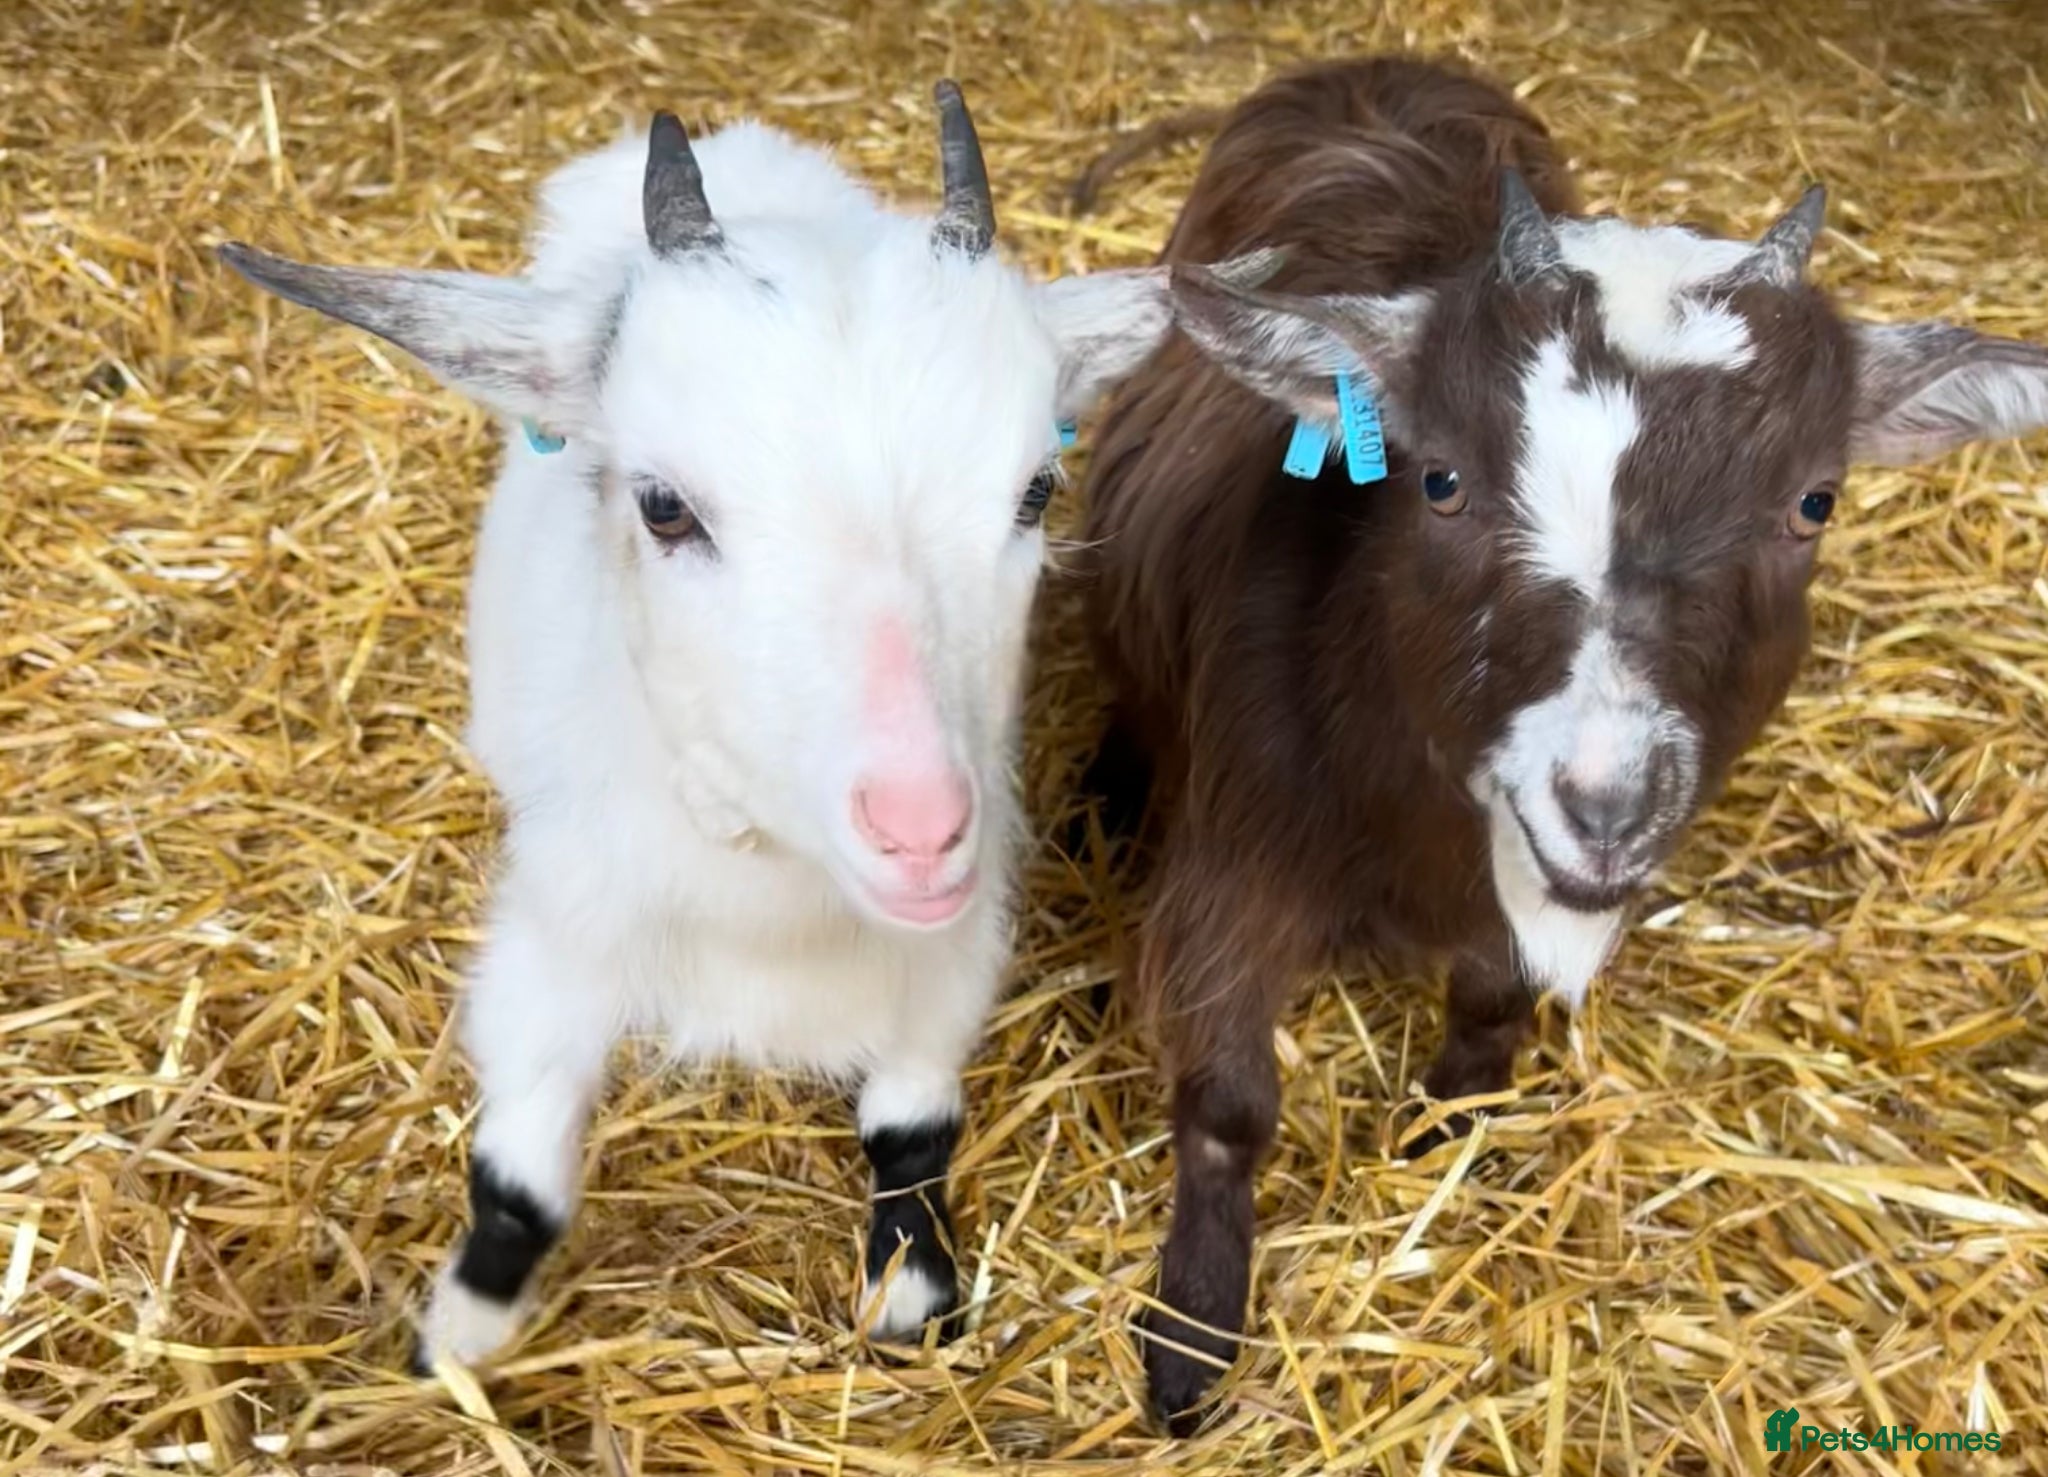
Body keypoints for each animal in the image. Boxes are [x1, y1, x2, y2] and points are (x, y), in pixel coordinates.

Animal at [220, 83, 1195, 1367]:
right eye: (664, 507)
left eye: (1035, 490)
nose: (920, 832)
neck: (768, 906)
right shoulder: (549, 945)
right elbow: (518, 1185)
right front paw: (457, 1341)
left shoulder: (955, 949)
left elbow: (913, 1124)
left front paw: (909, 1286)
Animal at [1076, 56, 2048, 1430]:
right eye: (1436, 479)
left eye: (1812, 500)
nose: (1604, 800)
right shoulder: (1235, 861)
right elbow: (1225, 1105)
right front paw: (1188, 1343)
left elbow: (1492, 1006)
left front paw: (1448, 1132)